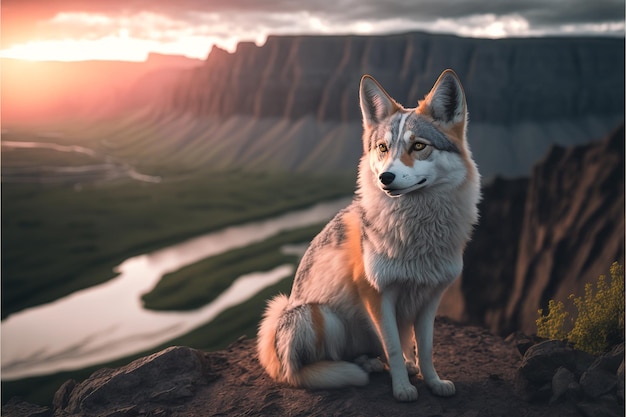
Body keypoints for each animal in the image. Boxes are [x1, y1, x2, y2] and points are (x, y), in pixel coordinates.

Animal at [256, 70, 480, 402]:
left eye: (418, 146)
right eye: (383, 148)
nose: (385, 177)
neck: (417, 237)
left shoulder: (429, 297)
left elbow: (425, 350)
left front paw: (433, 382)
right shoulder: (378, 294)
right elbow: (393, 348)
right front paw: (402, 388)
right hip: (316, 316)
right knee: (307, 369)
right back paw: (357, 368)